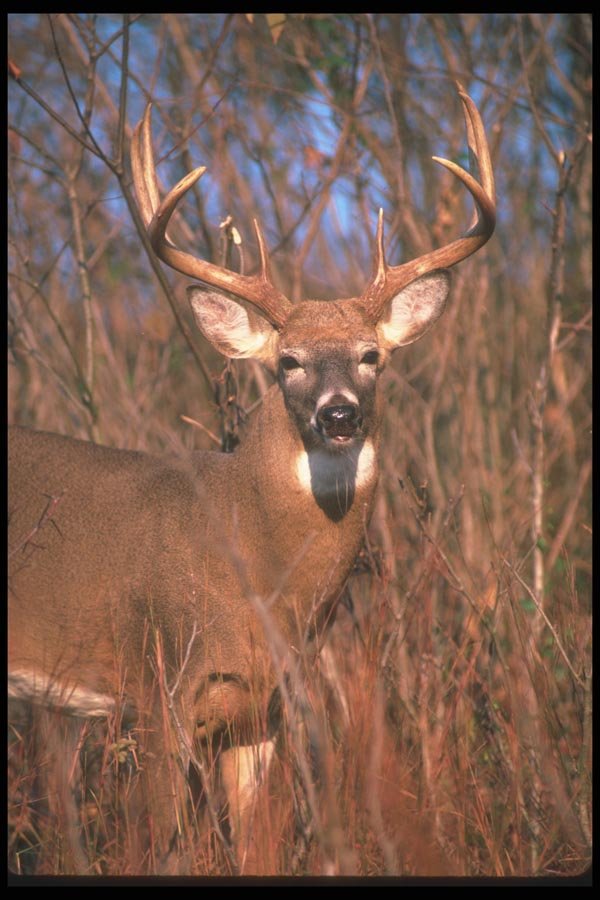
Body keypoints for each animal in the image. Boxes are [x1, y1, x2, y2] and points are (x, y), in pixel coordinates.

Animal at [8, 85, 495, 875]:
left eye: (371, 355)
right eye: (288, 361)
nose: (338, 414)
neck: (260, 573)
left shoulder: (260, 715)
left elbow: (257, 849)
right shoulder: (160, 688)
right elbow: (155, 848)